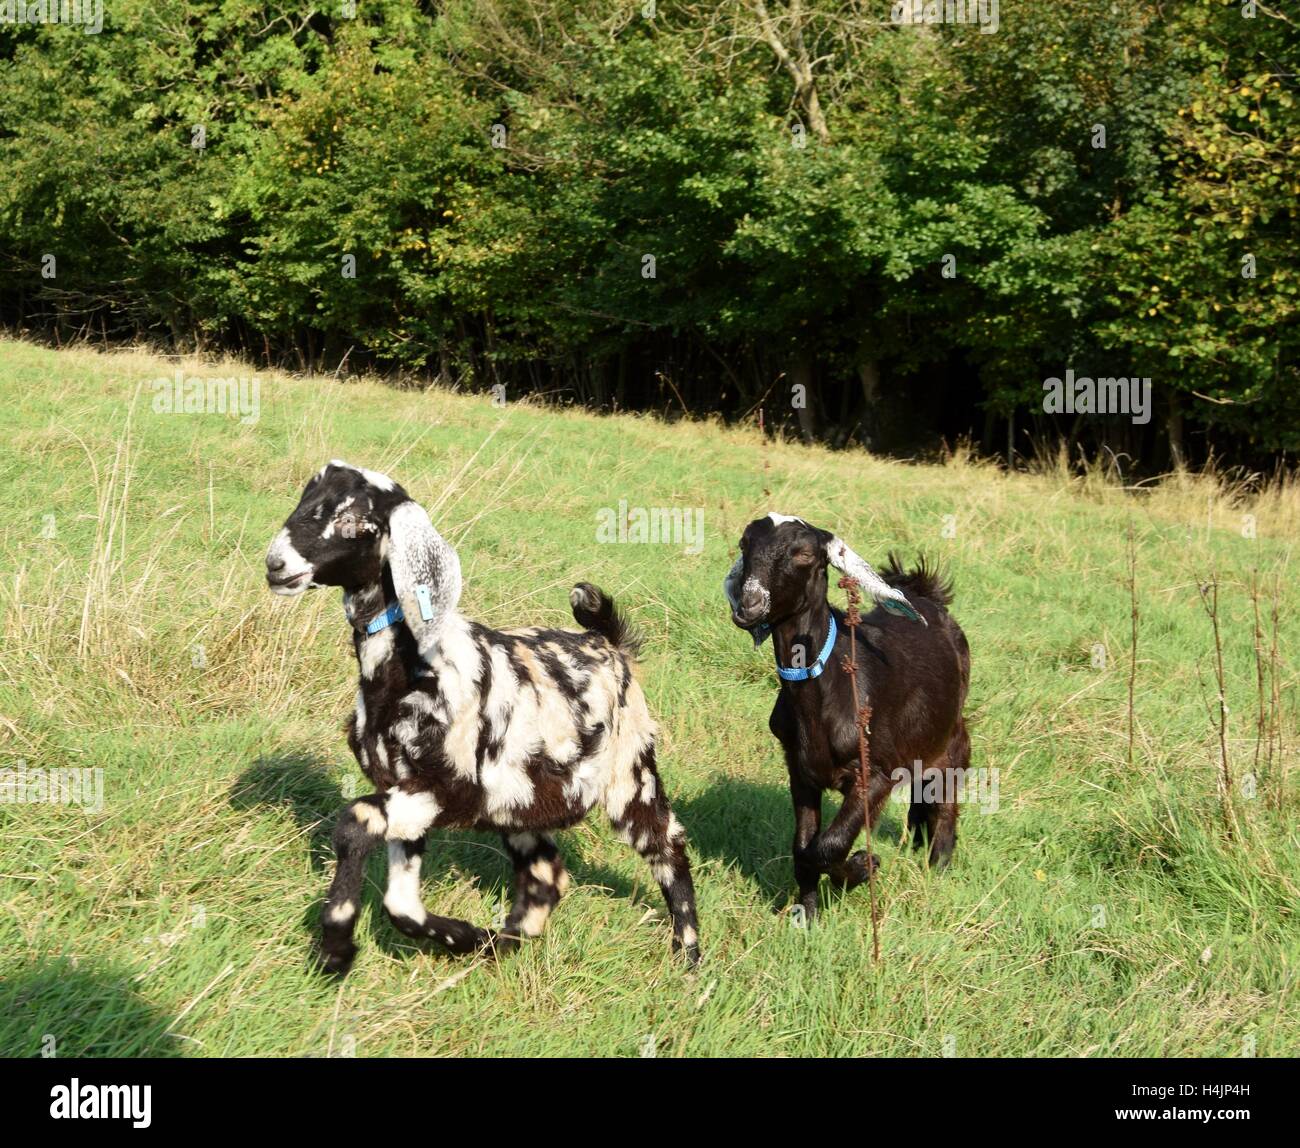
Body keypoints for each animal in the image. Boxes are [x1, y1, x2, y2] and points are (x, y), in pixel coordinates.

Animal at [262, 462, 702, 972]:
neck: (414, 662)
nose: (276, 564)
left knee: (668, 846)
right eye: (305, 499)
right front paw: (464, 935)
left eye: (356, 521)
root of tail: (608, 643)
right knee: (547, 874)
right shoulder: (403, 785)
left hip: (630, 774)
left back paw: (689, 956)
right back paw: (500, 944)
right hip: (520, 803)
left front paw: (336, 943)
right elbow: (401, 903)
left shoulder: (451, 788)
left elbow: (356, 822)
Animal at [728, 517, 972, 920]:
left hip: (952, 740)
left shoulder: (876, 774)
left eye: (804, 554)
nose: (749, 603)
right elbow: (804, 848)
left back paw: (938, 864)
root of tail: (927, 596)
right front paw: (807, 914)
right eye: (744, 544)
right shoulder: (800, 770)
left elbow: (830, 844)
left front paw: (861, 867)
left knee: (945, 802)